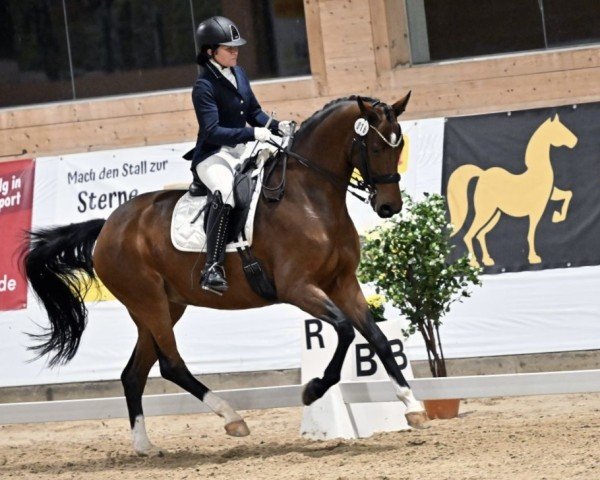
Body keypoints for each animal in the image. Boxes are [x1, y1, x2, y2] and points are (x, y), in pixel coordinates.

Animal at [23, 92, 426, 456]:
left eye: (399, 144)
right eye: (377, 146)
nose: (389, 207)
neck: (311, 198)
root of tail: (108, 225)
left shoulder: (342, 283)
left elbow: (376, 338)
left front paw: (412, 406)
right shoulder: (299, 288)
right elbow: (344, 329)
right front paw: (313, 389)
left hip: (162, 307)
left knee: (133, 373)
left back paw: (145, 446)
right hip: (149, 302)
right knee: (171, 365)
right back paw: (233, 419)